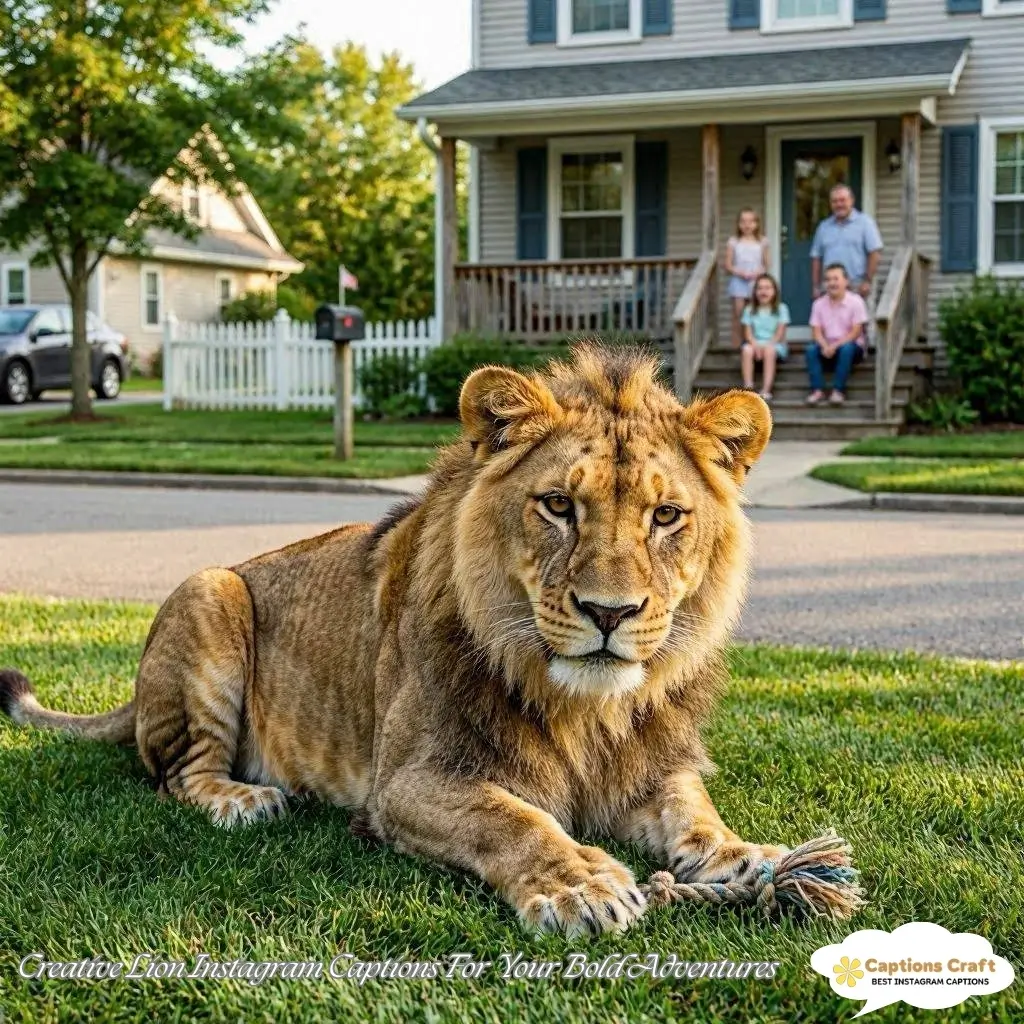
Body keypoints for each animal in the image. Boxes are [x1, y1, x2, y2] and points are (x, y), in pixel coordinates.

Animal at [0, 344, 781, 937]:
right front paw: (581, 883)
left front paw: (748, 857)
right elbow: (514, 820)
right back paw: (240, 799)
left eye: (666, 515)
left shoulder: (650, 766)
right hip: (210, 588)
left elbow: (693, 810)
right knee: (172, 777)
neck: (588, 709)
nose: (609, 612)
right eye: (559, 505)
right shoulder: (405, 784)